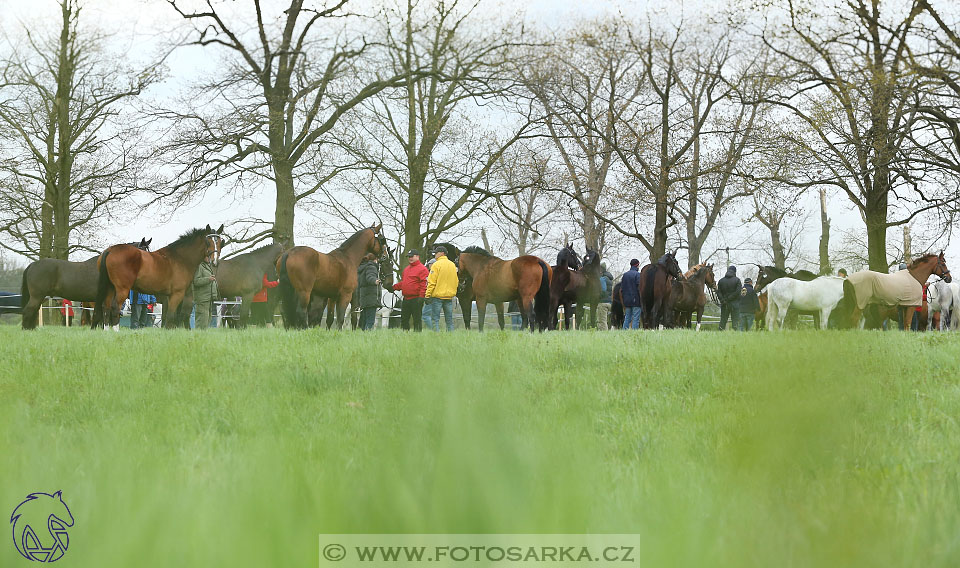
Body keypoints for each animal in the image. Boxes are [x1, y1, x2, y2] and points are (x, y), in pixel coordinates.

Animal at [94, 224, 225, 326]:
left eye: (219, 242)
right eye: (208, 241)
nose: (215, 261)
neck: (180, 258)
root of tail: (110, 250)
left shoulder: (170, 298)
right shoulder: (177, 295)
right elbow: (171, 318)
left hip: (110, 287)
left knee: (105, 308)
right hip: (122, 289)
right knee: (115, 308)